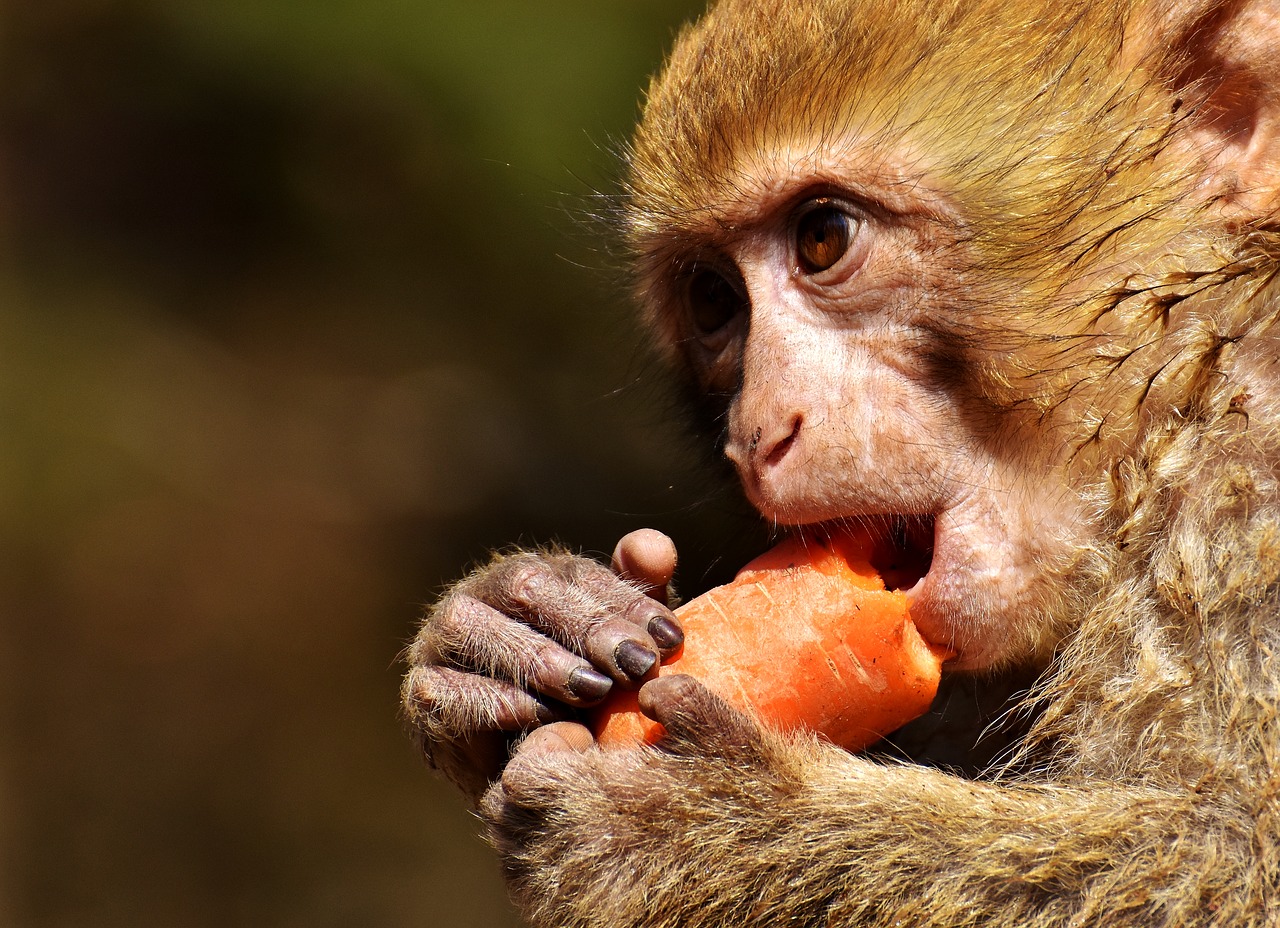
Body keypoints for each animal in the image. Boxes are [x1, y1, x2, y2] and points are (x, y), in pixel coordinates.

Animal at [404, 0, 1280, 921]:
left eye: (823, 238)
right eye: (713, 299)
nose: (756, 434)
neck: (1191, 380)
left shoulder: (1242, 493)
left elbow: (1222, 862)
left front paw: (695, 827)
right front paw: (508, 621)